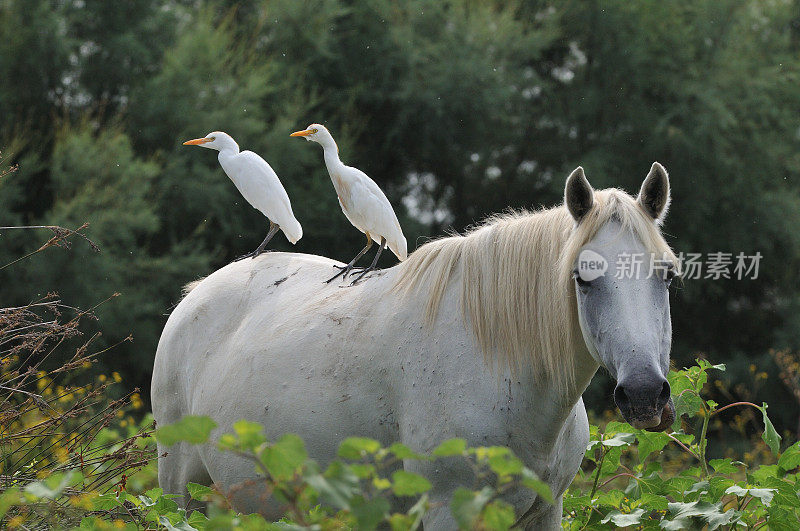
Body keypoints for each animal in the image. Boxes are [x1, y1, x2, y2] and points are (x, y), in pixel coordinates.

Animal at [153, 164, 680, 528]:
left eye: (668, 275)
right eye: (583, 278)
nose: (644, 395)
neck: (500, 362)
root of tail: (197, 293)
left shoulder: (545, 513)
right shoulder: (448, 511)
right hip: (179, 492)